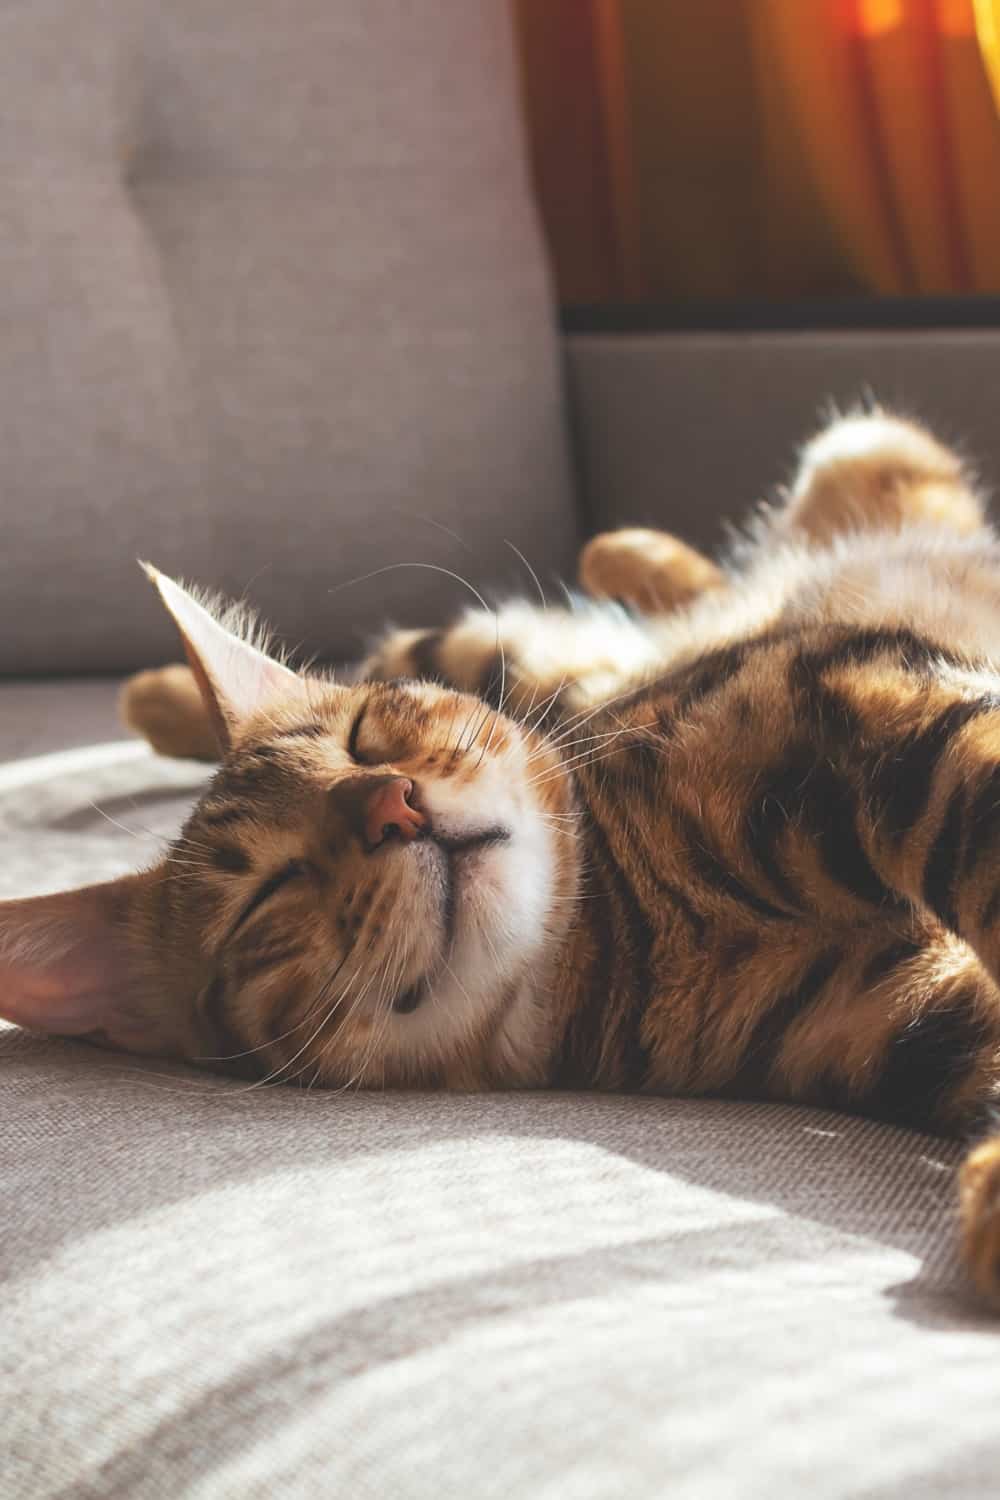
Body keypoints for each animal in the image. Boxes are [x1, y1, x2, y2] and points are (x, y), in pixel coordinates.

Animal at [3, 405, 1000, 1308]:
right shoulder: (909, 1018)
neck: (642, 922)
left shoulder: (851, 692)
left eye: (364, 741)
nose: (392, 805)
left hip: (830, 467)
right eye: (269, 894)